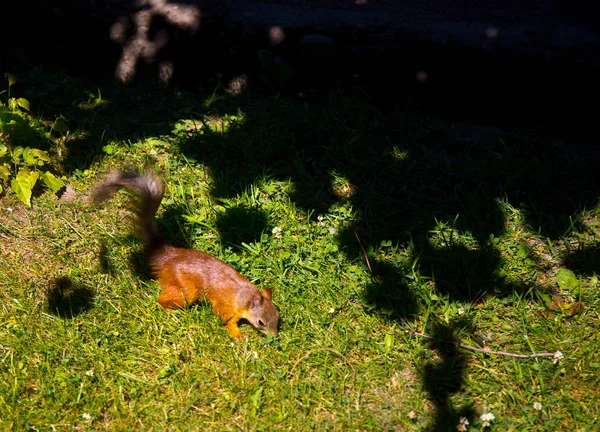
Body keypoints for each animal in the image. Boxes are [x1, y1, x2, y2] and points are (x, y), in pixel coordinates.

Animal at [92, 167, 280, 340]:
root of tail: (166, 256)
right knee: (161, 300)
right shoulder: (227, 306)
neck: (245, 296)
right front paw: (238, 336)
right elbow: (226, 320)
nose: (274, 336)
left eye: (278, 315)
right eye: (261, 322)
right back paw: (172, 312)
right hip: (186, 289)